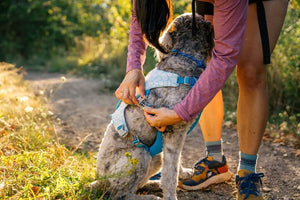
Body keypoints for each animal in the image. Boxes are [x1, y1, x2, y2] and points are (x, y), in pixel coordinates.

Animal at [95, 13, 214, 199]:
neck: (183, 61)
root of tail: (100, 181)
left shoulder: (174, 137)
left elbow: (175, 163)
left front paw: (183, 173)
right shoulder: (174, 132)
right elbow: (170, 173)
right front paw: (171, 195)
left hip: (155, 157)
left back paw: (153, 184)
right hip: (139, 154)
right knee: (122, 195)